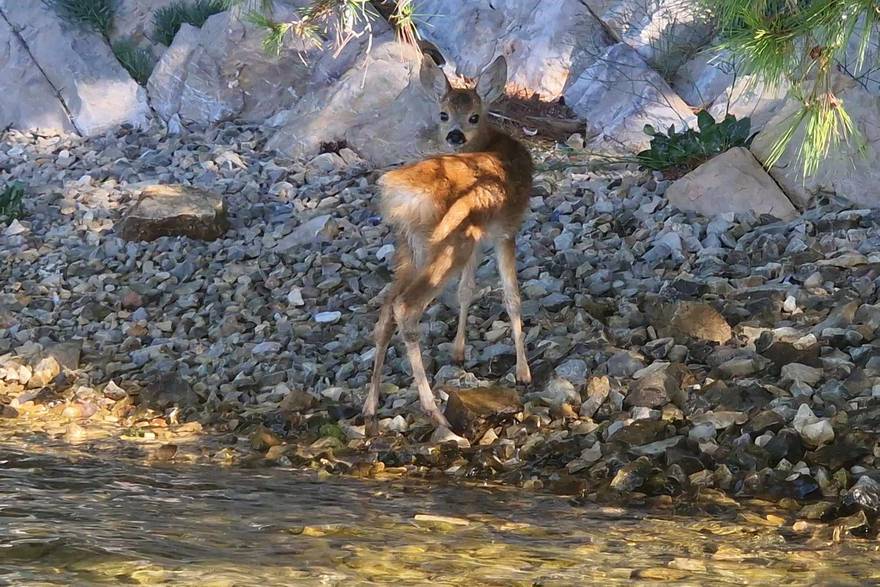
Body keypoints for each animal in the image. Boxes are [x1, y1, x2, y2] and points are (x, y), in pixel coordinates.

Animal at [360, 54, 532, 432]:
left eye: (474, 116)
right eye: (443, 114)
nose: (455, 134)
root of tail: (402, 193)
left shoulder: (480, 240)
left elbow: (467, 291)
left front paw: (458, 352)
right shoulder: (506, 229)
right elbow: (512, 297)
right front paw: (523, 371)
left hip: (411, 248)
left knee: (386, 309)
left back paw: (370, 403)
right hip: (448, 244)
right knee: (405, 307)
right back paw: (433, 409)